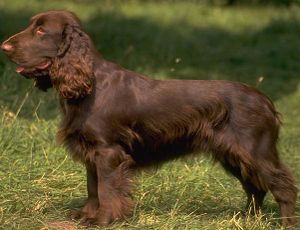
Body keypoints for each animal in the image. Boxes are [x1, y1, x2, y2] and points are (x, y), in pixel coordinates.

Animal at [0, 10, 298, 226]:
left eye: (41, 31)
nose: (4, 46)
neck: (89, 84)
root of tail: (266, 101)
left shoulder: (108, 152)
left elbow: (106, 189)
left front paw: (103, 220)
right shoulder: (91, 152)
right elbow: (92, 186)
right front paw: (87, 215)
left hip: (255, 151)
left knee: (282, 185)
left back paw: (285, 223)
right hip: (232, 154)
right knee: (255, 187)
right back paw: (247, 219)